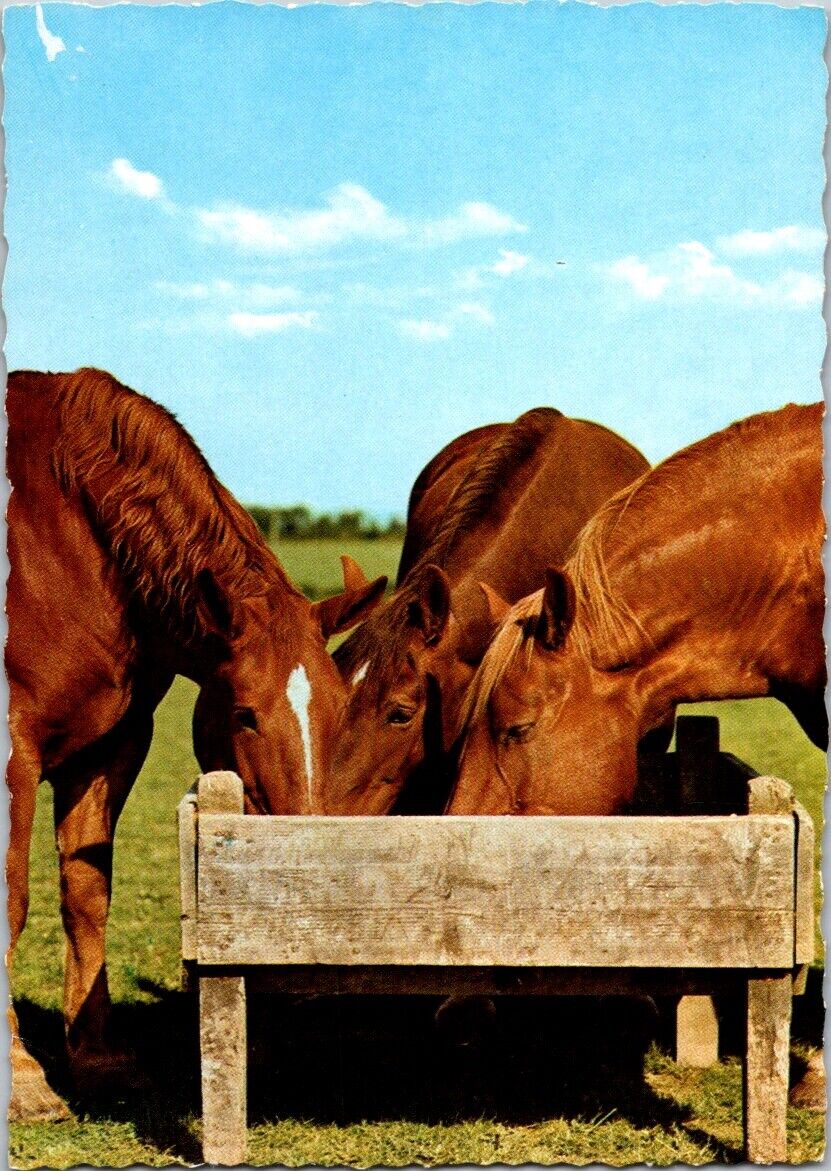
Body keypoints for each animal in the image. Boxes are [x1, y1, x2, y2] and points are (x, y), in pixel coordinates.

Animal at [4, 370, 388, 1119]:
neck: (63, 532)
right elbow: (11, 903)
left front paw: (100, 1060)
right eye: (244, 714)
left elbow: (87, 895)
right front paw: (22, 1076)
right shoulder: (12, 751)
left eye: (339, 710)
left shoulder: (112, 748)